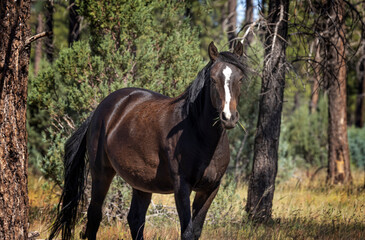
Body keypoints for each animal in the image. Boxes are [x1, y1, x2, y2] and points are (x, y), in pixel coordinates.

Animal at [48, 41, 246, 240]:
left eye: (240, 79)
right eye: (213, 79)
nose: (229, 117)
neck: (198, 134)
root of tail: (99, 110)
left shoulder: (210, 189)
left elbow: (196, 231)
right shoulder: (182, 187)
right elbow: (187, 232)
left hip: (141, 182)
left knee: (135, 219)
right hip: (101, 174)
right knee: (94, 217)